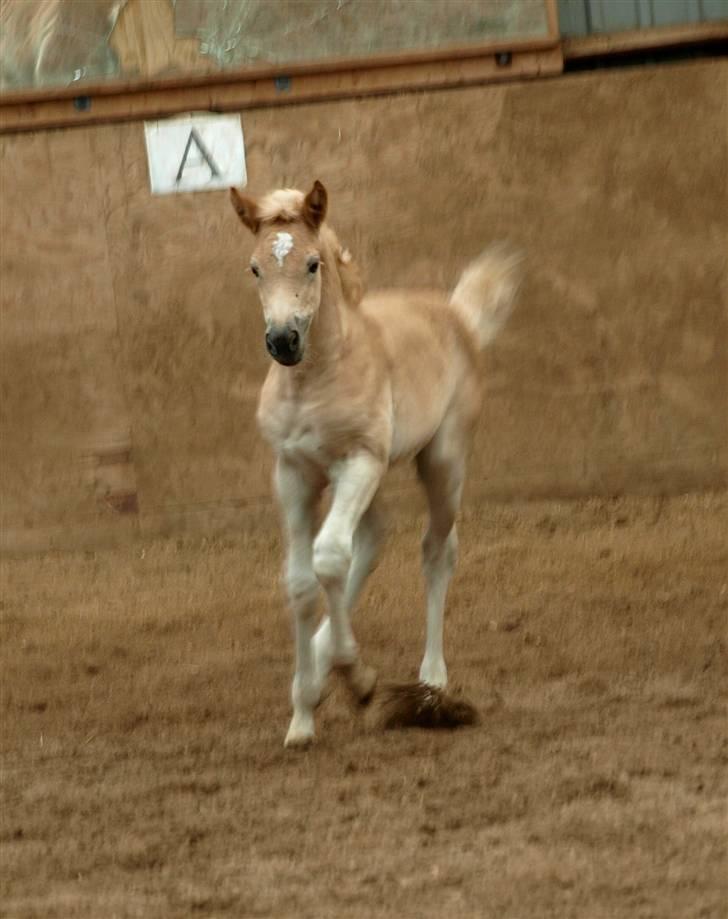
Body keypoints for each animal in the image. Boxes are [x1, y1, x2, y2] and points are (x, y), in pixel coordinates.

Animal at [230, 180, 520, 748]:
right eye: (255, 268)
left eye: (313, 264)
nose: (283, 341)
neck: (317, 377)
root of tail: (457, 314)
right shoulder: (293, 473)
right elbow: (301, 581)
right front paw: (303, 713)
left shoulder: (357, 462)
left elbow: (327, 559)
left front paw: (359, 680)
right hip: (373, 476)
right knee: (371, 539)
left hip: (441, 461)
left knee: (435, 550)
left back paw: (431, 679)